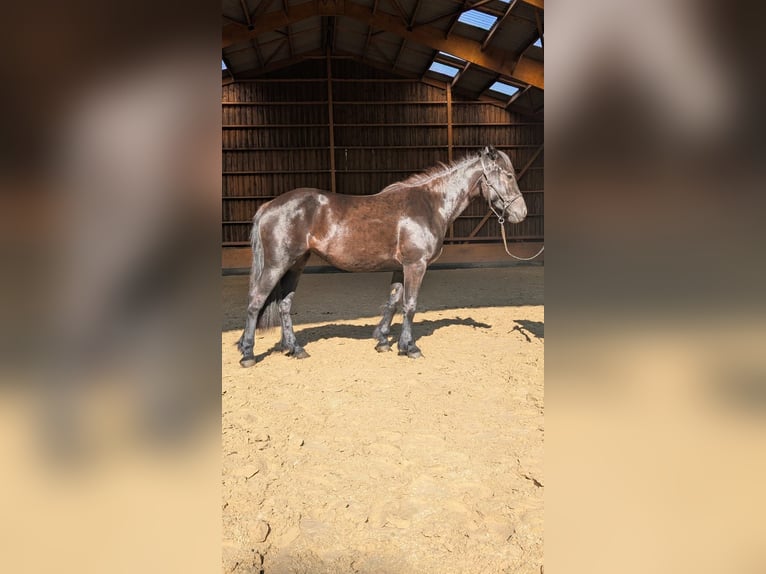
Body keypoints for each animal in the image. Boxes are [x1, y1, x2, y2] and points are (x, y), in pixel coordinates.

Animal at [237, 145, 527, 367]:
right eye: (509, 176)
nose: (521, 213)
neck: (430, 204)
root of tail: (268, 206)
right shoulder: (416, 265)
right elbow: (410, 305)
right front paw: (409, 347)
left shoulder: (401, 267)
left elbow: (393, 302)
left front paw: (384, 340)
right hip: (276, 265)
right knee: (255, 302)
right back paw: (248, 353)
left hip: (295, 265)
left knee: (284, 305)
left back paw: (295, 349)